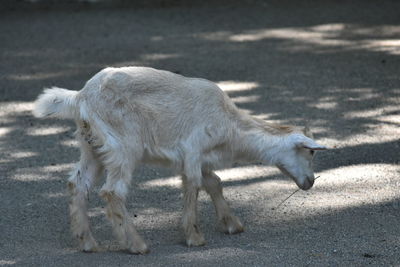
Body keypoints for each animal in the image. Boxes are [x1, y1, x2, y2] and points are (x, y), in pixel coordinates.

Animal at [33, 67, 324, 255]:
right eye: (310, 152)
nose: (310, 182)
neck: (231, 128)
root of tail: (81, 97)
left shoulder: (202, 157)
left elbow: (214, 182)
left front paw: (232, 224)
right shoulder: (193, 150)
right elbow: (194, 185)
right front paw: (194, 237)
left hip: (92, 146)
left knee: (77, 185)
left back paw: (87, 242)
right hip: (122, 145)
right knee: (112, 191)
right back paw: (136, 245)